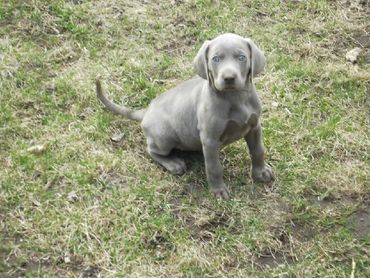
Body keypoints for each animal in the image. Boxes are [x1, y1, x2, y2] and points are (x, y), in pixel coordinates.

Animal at [97, 32, 274, 199]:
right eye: (216, 59)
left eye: (242, 57)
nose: (229, 78)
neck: (235, 98)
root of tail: (146, 112)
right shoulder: (210, 139)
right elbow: (214, 167)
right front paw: (218, 190)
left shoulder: (254, 127)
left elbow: (258, 150)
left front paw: (261, 173)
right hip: (164, 137)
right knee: (152, 150)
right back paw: (173, 163)